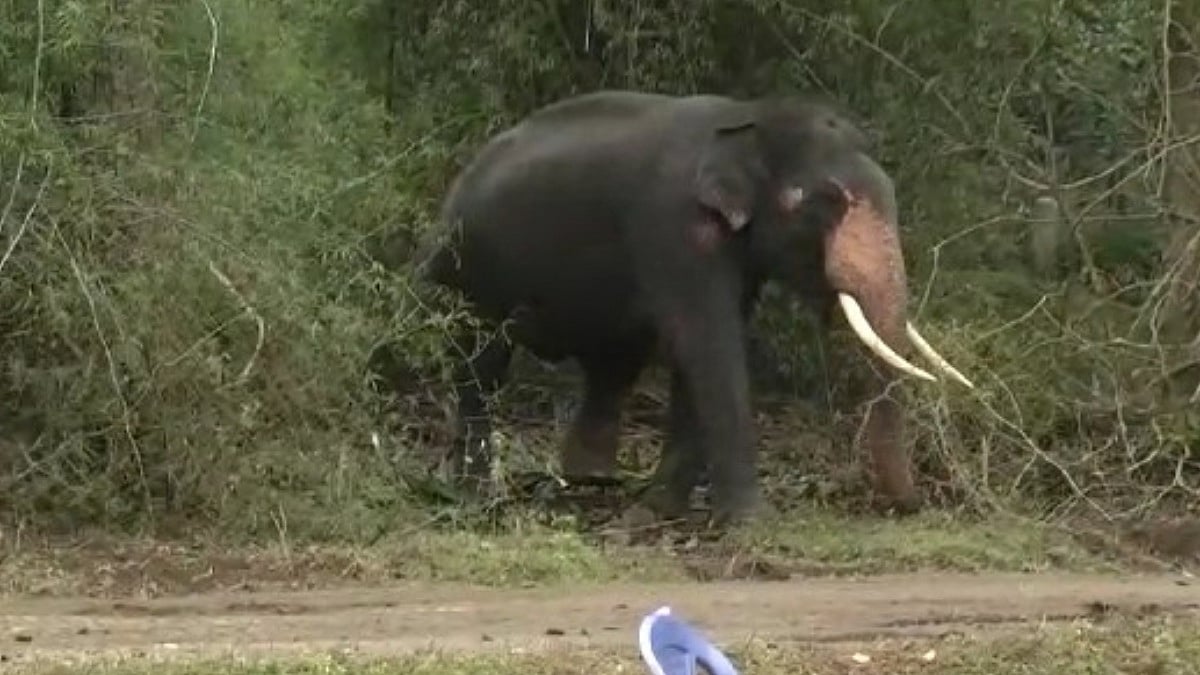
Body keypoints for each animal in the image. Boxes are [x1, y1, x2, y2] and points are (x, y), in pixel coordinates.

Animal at [413, 89, 974, 525]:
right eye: (821, 203)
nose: (911, 506)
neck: (751, 117)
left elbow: (697, 351)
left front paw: (661, 509)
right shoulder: (673, 226)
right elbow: (708, 342)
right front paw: (752, 524)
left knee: (612, 364)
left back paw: (589, 479)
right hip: (462, 270)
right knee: (479, 365)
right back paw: (476, 496)